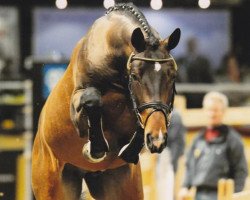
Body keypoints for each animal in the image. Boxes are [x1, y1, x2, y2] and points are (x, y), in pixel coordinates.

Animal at [31, 2, 180, 199]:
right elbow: (92, 100)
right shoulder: (78, 105)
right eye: (135, 76)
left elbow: (140, 119)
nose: (158, 137)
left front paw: (130, 151)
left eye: (173, 76)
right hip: (52, 183)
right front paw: (96, 149)